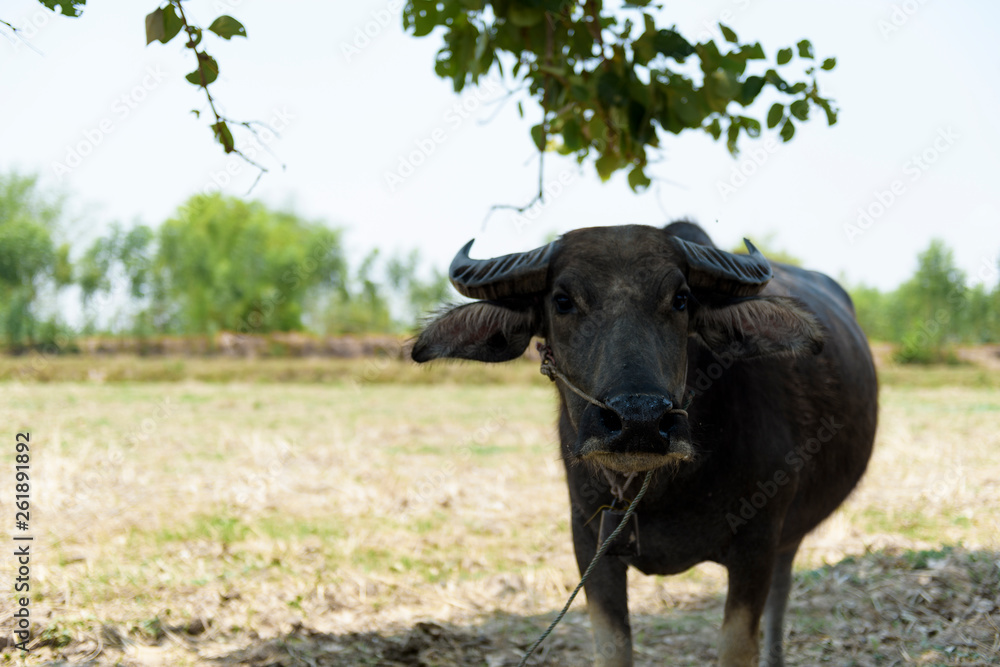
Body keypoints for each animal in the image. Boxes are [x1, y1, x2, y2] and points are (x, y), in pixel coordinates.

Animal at [410, 224, 880, 667]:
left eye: (681, 299)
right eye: (562, 301)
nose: (640, 420)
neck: (664, 492)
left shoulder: (758, 542)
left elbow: (736, 647)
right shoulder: (590, 545)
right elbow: (613, 649)